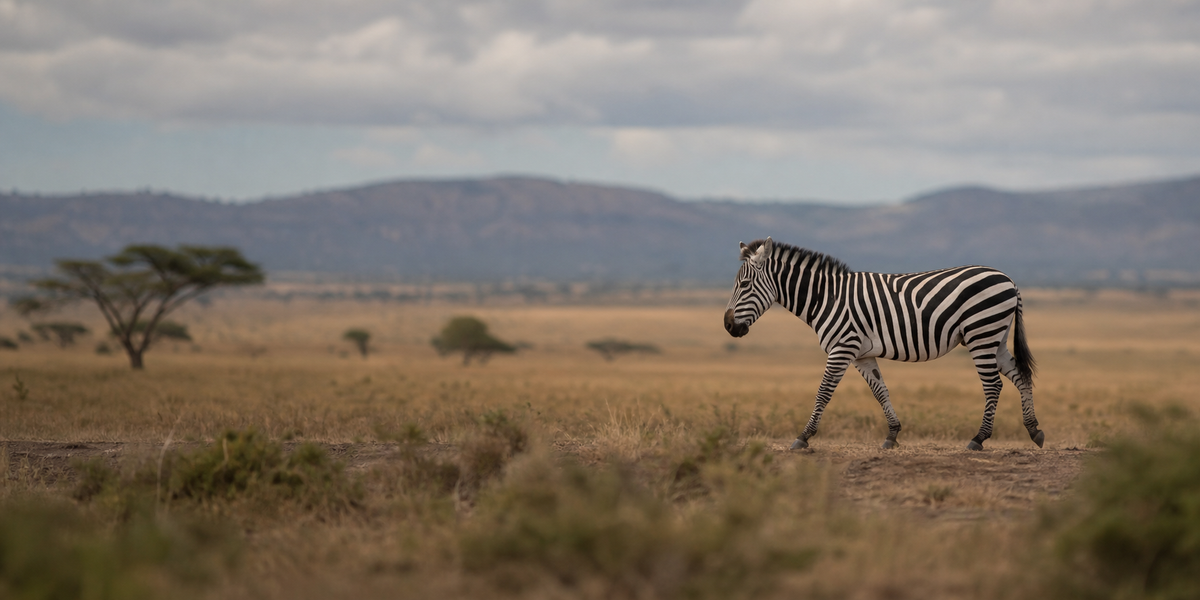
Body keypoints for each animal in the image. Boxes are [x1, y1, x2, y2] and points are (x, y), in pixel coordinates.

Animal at [723, 237, 1042, 451]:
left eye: (745, 285)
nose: (727, 325)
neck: (826, 297)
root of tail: (1009, 280)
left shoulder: (842, 348)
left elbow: (823, 392)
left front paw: (803, 437)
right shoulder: (861, 354)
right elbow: (880, 391)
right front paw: (892, 435)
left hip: (981, 333)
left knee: (993, 385)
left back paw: (978, 439)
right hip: (995, 338)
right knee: (1021, 376)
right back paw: (1034, 431)